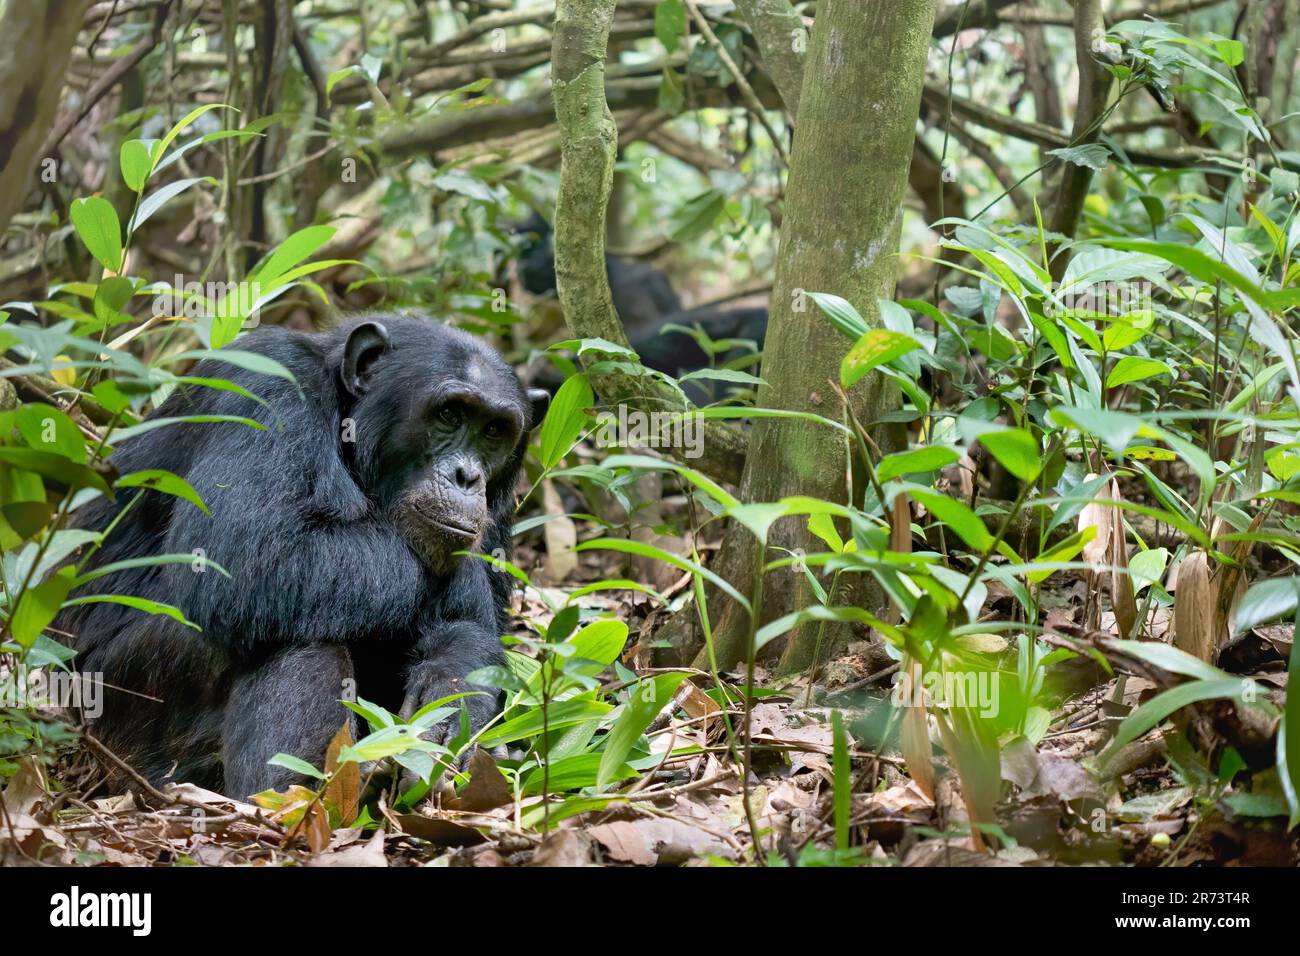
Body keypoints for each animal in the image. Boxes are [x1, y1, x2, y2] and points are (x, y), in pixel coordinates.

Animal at [54, 316, 543, 801]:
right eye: (450, 414)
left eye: (494, 431)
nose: (467, 475)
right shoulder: (265, 385)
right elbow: (245, 555)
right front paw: (463, 580)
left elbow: (474, 632)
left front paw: (452, 698)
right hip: (119, 708)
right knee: (296, 634)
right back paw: (303, 800)